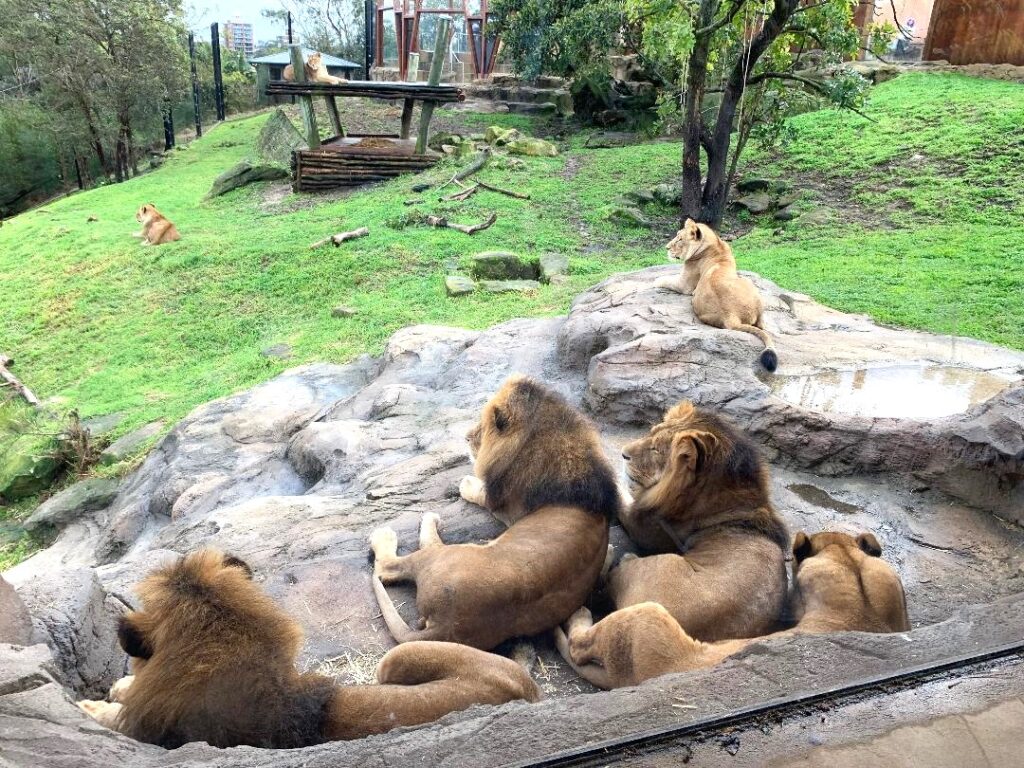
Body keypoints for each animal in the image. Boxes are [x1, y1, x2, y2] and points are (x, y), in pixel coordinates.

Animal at [372, 376, 618, 651]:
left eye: (482, 427)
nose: (466, 437)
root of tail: (445, 624)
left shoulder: (508, 507)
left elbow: (479, 492)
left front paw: (466, 482)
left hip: (442, 555)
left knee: (389, 565)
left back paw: (398, 530)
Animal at [606, 403, 790, 643]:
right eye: (649, 434)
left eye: (656, 449)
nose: (623, 454)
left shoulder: (647, 528)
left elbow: (620, 495)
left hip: (660, 564)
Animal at [655, 219, 774, 372]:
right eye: (677, 235)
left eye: (680, 239)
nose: (666, 248)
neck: (715, 243)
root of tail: (731, 315)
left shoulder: (684, 284)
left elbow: (663, 279)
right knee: (761, 324)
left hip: (746, 282)